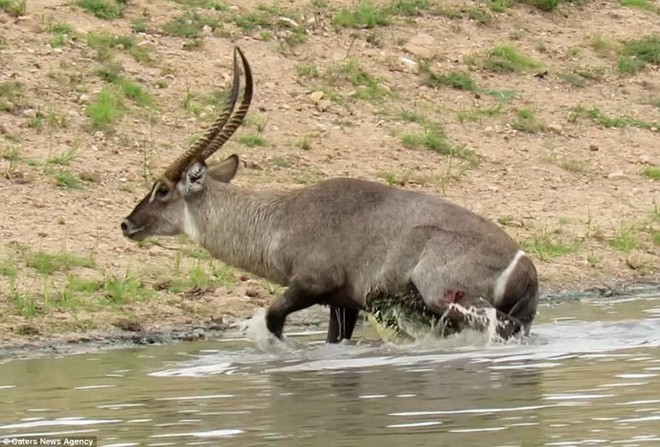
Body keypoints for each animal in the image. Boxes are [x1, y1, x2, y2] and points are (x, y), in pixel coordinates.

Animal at [121, 46, 540, 344]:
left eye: (161, 189)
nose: (127, 224)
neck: (282, 217)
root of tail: (525, 266)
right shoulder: (342, 304)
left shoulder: (310, 285)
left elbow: (272, 320)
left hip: (450, 299)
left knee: (499, 327)